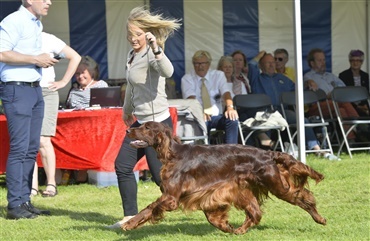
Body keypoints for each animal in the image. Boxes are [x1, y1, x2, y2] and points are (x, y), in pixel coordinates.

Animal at [122, 121, 326, 234]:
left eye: (146, 127)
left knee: (303, 196)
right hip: (244, 189)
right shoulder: (208, 195)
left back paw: (320, 219)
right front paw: (226, 226)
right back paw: (239, 231)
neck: (173, 154)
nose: (127, 131)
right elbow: (212, 217)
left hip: (277, 185)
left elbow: (149, 208)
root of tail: (268, 153)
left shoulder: (172, 197)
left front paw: (129, 223)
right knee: (255, 213)